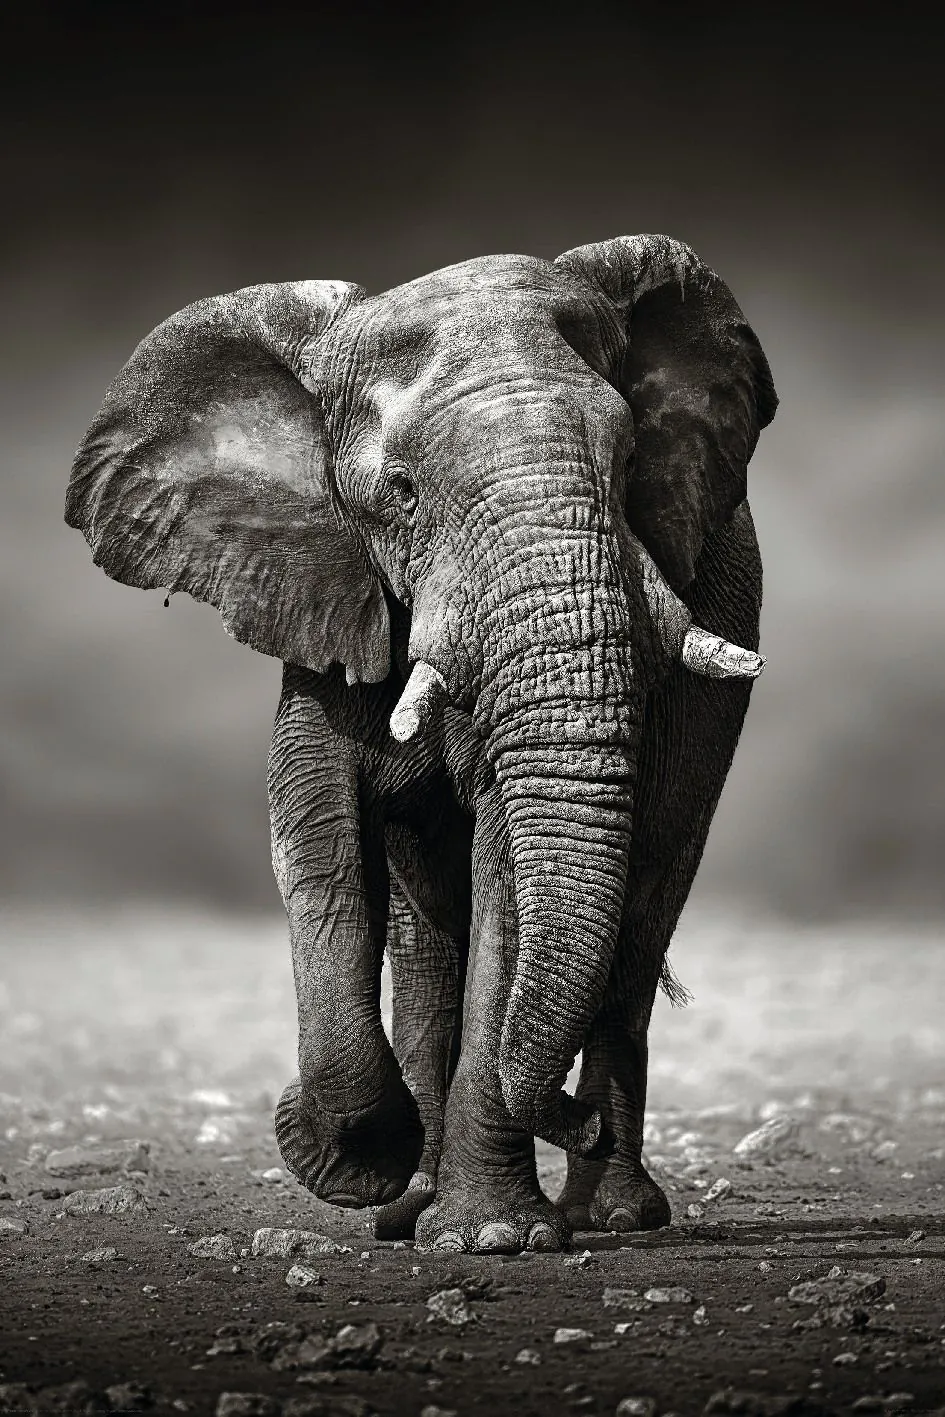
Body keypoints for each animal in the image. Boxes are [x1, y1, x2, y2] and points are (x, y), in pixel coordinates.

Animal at [65, 234, 776, 1254]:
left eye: (631, 457)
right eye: (398, 494)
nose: (570, 1119)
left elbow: (507, 869)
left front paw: (494, 1237)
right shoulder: (326, 590)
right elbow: (316, 837)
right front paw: (355, 1162)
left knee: (640, 912)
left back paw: (608, 1213)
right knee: (428, 941)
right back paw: (414, 1207)